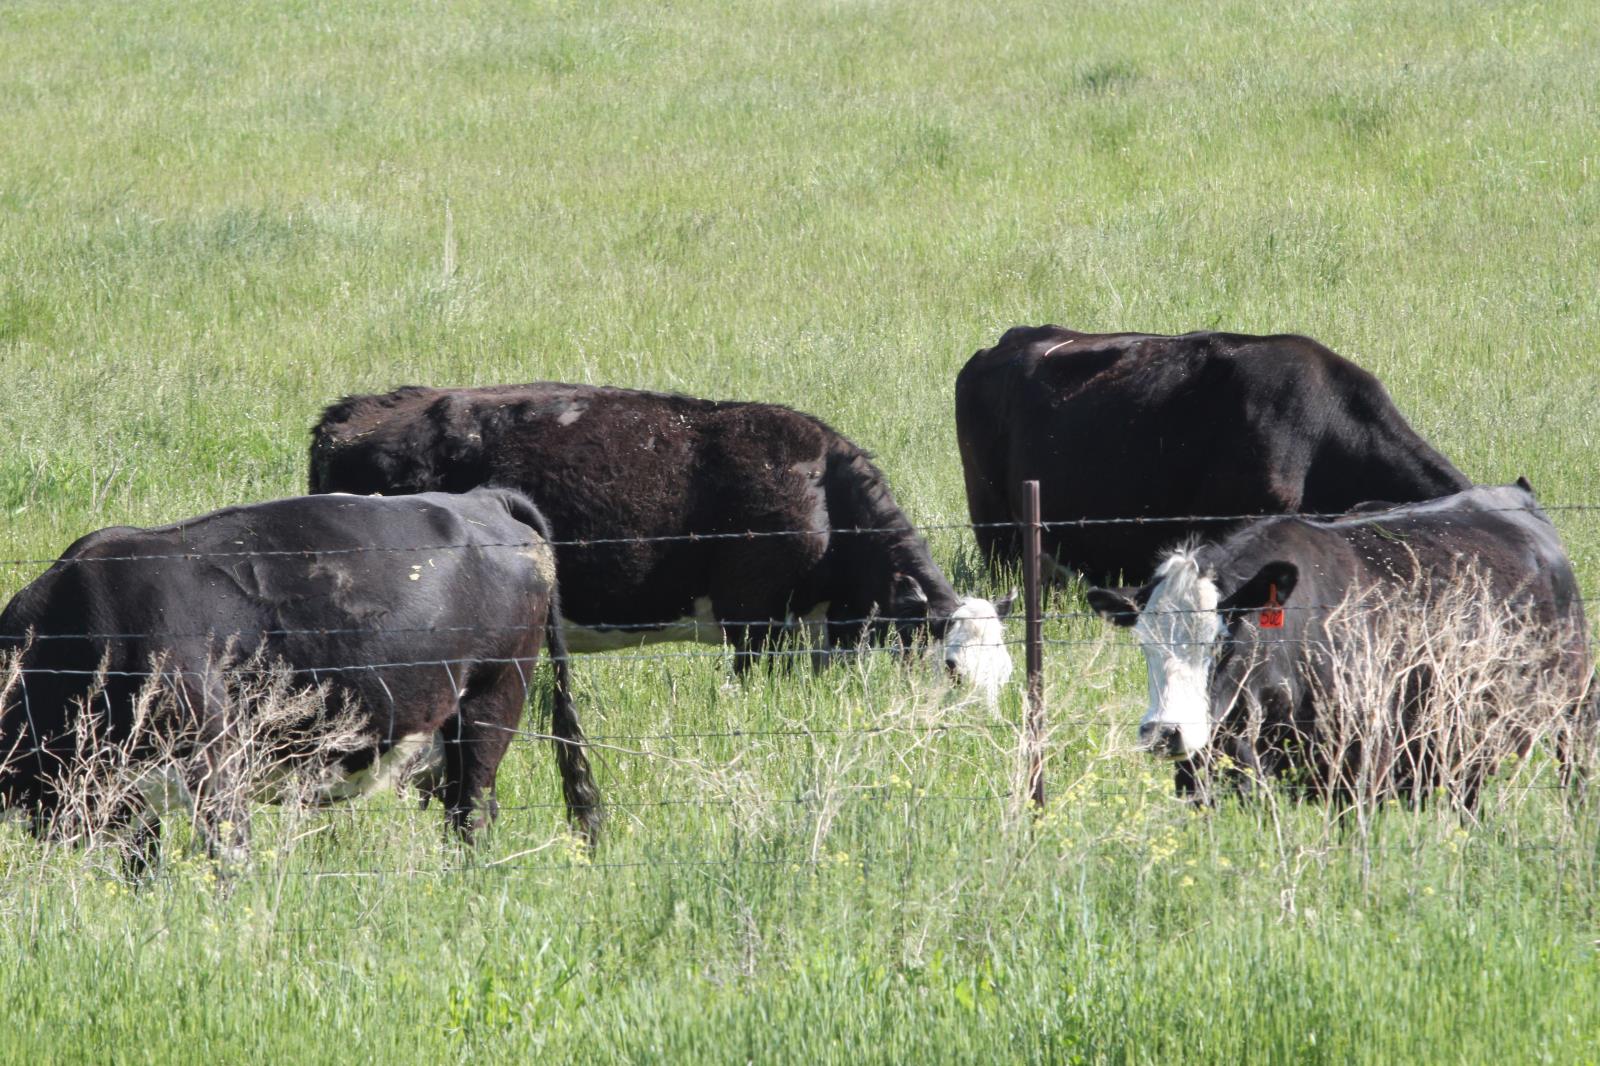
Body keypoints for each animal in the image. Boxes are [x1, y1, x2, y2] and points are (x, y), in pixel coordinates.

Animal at [0, 486, 601, 864]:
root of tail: (480, 498)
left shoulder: (216, 761)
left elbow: (228, 858)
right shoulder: (126, 794)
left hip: (492, 701)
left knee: (471, 814)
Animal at [1081, 480, 1593, 806]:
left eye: (1222, 644)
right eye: (1145, 645)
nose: (1164, 732)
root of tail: (1515, 493)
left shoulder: (1362, 769)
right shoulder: (1202, 778)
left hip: (1577, 712)